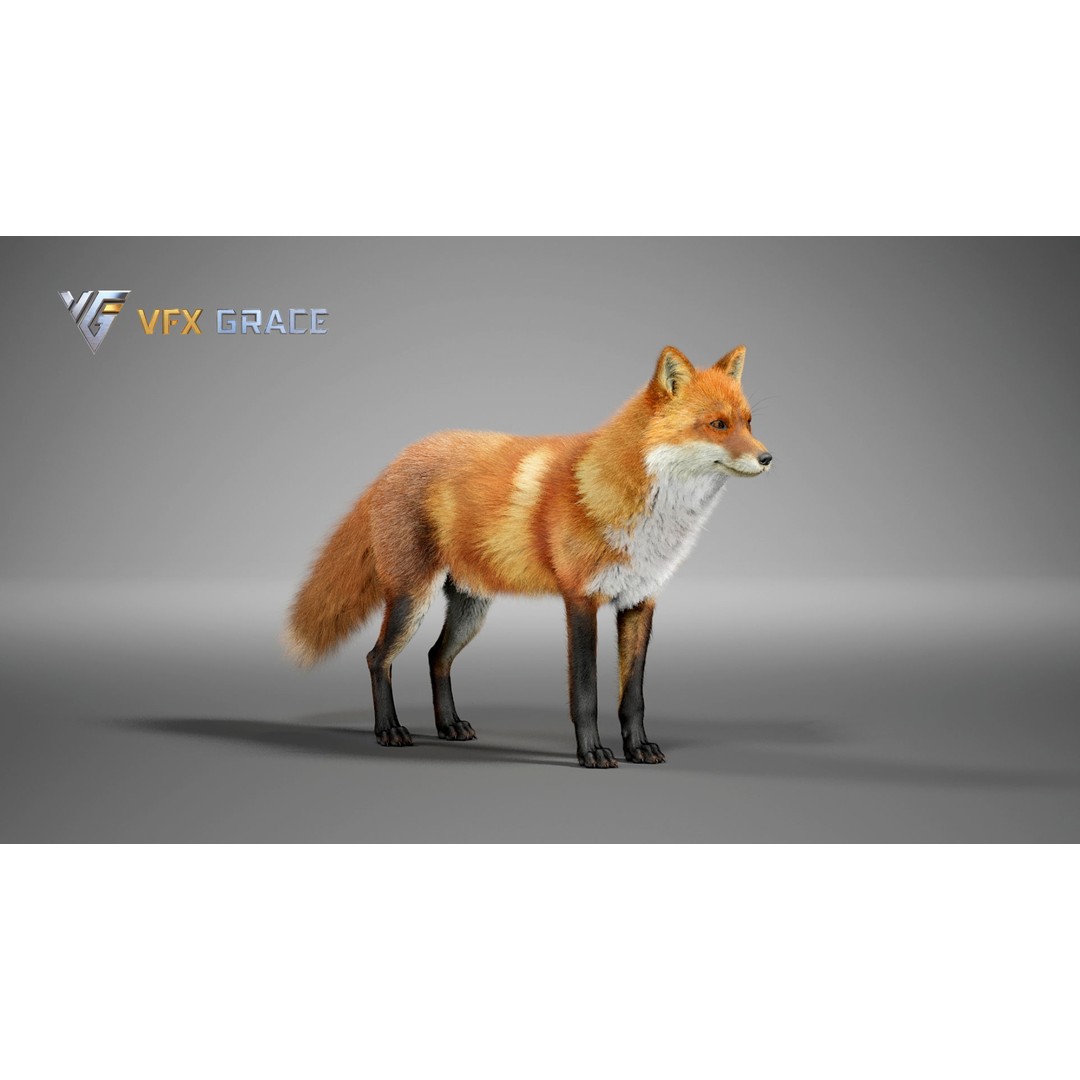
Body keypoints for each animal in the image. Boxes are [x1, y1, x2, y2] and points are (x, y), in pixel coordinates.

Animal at [286, 344, 772, 768]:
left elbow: (632, 697)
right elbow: (587, 694)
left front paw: (638, 748)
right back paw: (389, 730)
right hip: (412, 599)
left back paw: (448, 726)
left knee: (436, 657)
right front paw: (593, 753)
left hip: (470, 609)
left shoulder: (640, 601)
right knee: (377, 658)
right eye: (718, 425)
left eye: (748, 422)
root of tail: (397, 460)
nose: (768, 458)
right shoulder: (581, 600)